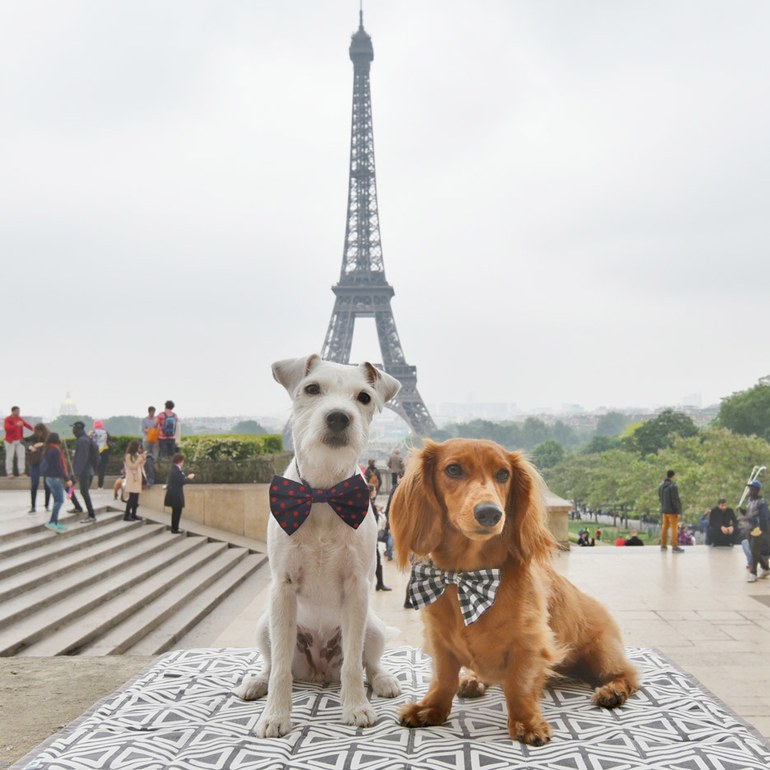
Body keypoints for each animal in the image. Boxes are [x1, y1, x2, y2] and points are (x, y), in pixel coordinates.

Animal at [234, 352, 402, 736]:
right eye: (312, 389)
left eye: (364, 397)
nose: (339, 416)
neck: (324, 492)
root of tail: (318, 673)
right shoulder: (282, 587)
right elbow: (281, 669)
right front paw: (275, 716)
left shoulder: (357, 589)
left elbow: (354, 664)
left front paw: (356, 707)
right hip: (265, 624)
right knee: (273, 665)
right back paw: (257, 683)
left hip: (373, 627)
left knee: (369, 663)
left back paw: (383, 681)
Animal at [390, 438, 636, 744]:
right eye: (453, 469)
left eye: (503, 474)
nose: (490, 513)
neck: (469, 577)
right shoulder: (440, 642)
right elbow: (443, 679)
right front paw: (430, 709)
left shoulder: (529, 643)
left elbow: (519, 685)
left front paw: (527, 723)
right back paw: (471, 679)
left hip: (603, 652)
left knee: (629, 674)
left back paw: (612, 691)